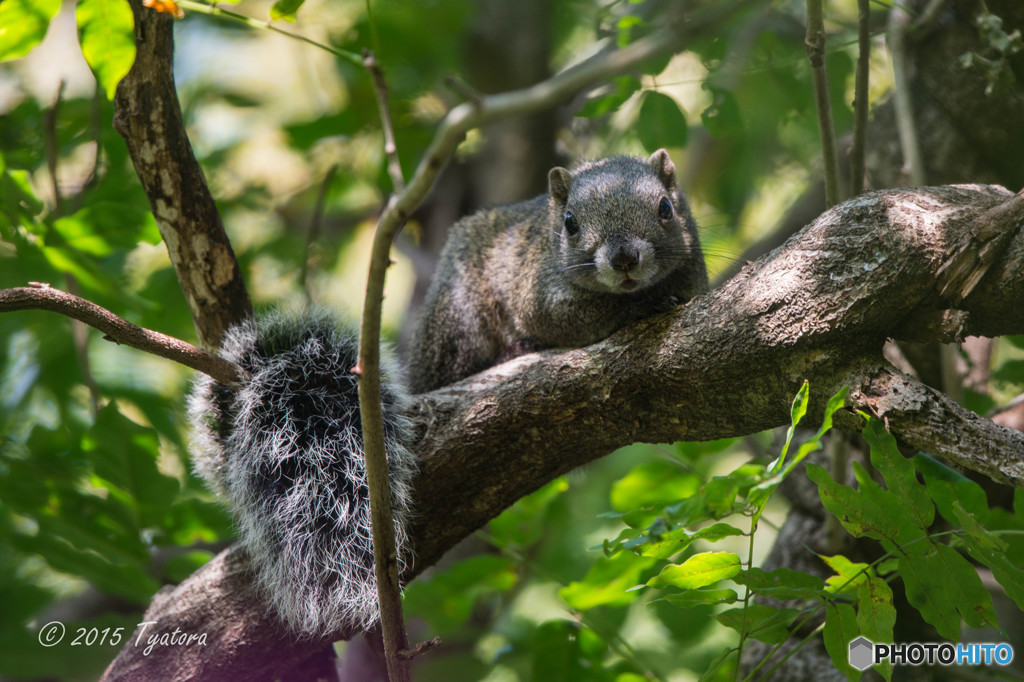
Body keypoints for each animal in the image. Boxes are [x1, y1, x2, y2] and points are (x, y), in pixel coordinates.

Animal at [188, 148, 708, 638]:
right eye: (570, 224)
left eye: (666, 208)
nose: (624, 260)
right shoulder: (541, 296)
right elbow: (581, 317)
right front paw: (635, 308)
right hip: (458, 318)